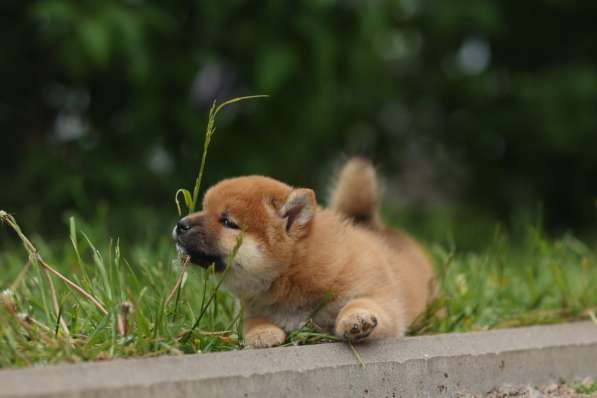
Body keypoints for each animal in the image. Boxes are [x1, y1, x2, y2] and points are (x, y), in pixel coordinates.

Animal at [172, 159, 434, 348]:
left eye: (228, 222)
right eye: (204, 209)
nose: (180, 224)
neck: (292, 275)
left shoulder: (377, 293)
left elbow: (363, 303)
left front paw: (356, 318)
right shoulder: (249, 309)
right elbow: (251, 322)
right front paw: (262, 332)